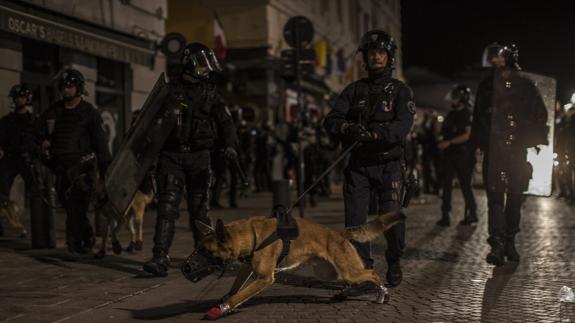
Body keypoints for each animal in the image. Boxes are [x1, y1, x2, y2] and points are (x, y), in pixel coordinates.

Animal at [195, 211, 404, 320]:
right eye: (198, 248)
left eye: (205, 251)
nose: (188, 268)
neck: (251, 235)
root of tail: (337, 233)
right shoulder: (247, 268)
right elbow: (235, 287)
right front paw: (223, 299)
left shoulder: (263, 278)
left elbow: (239, 295)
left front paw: (222, 308)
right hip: (330, 272)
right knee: (360, 274)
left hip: (347, 271)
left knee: (371, 272)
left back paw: (383, 293)